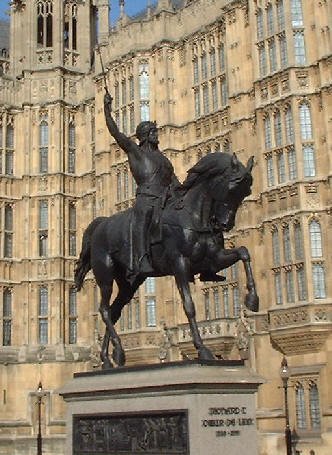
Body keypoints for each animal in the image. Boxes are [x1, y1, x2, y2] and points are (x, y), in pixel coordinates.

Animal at [75, 154, 260, 370]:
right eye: (232, 186)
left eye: (247, 191)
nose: (224, 224)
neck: (193, 216)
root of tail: (100, 224)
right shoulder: (179, 263)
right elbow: (189, 305)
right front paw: (202, 348)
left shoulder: (212, 260)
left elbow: (244, 253)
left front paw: (252, 299)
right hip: (105, 274)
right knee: (104, 310)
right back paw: (115, 353)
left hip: (129, 283)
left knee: (114, 311)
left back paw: (108, 358)